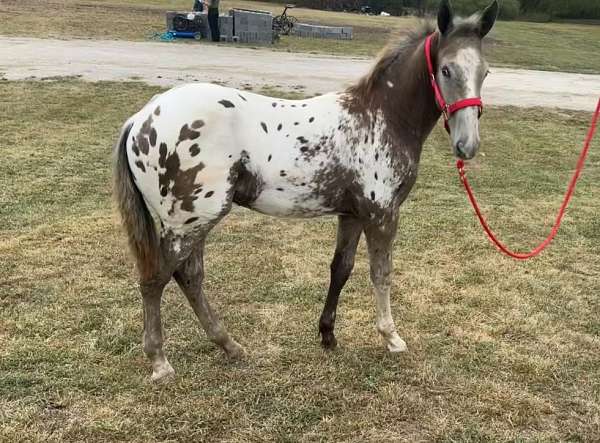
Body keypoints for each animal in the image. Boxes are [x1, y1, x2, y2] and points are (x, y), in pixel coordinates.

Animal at [115, 0, 500, 382]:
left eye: (485, 72)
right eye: (446, 70)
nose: (468, 145)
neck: (380, 117)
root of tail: (140, 118)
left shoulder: (352, 215)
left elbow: (341, 269)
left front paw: (328, 335)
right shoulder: (382, 214)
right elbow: (381, 273)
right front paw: (391, 337)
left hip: (193, 221)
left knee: (189, 277)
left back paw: (230, 346)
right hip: (190, 221)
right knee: (155, 279)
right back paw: (160, 362)